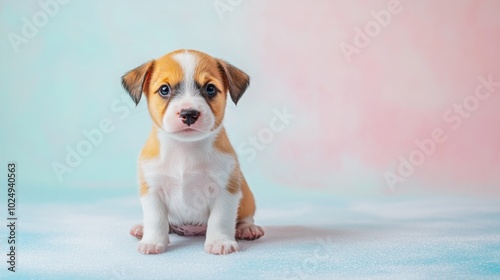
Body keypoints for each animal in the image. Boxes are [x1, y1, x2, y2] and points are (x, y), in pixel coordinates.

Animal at [120, 49, 264, 255]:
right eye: (164, 89)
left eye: (210, 89)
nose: (188, 113)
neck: (185, 148)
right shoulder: (153, 190)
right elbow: (155, 219)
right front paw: (153, 241)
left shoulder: (225, 190)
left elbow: (220, 219)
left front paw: (220, 241)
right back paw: (142, 228)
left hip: (246, 197)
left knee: (245, 217)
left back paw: (247, 228)